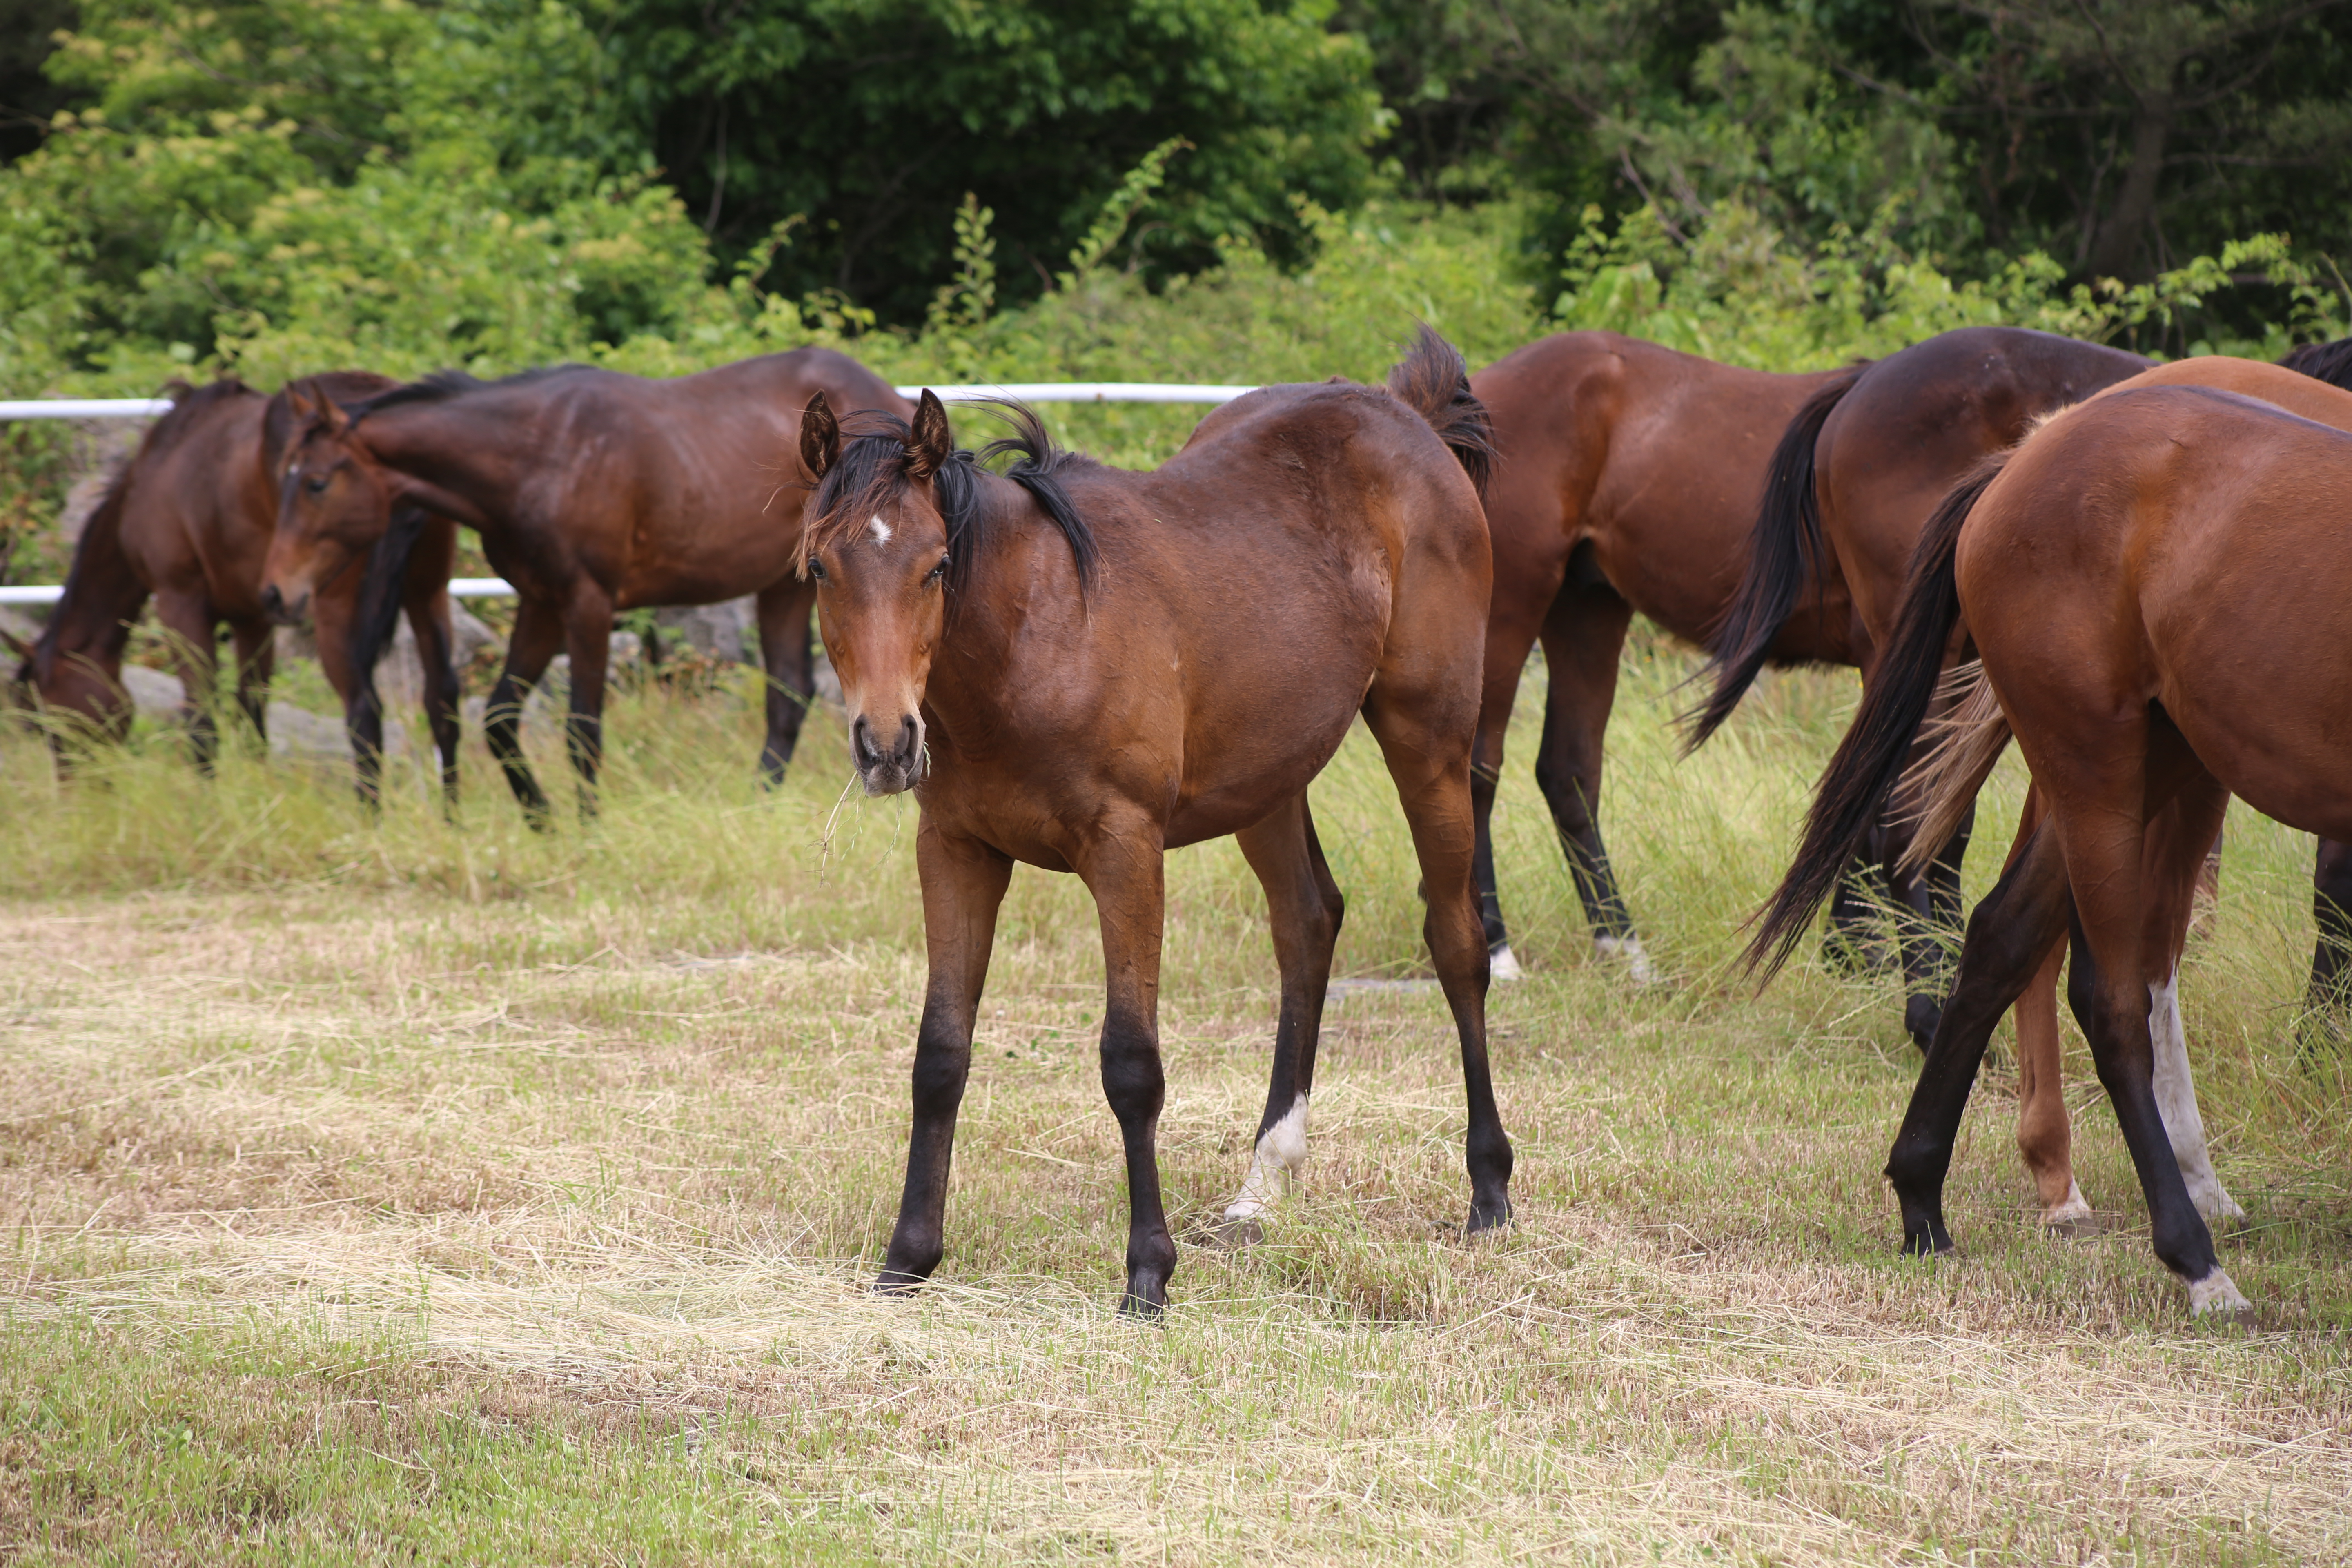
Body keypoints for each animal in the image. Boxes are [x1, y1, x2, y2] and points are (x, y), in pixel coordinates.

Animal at [13, 376, 461, 799]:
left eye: (48, 720)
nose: (77, 795)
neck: (156, 469)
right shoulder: (255, 618)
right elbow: (252, 719)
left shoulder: (180, 605)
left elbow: (203, 723)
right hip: (428, 593)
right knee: (442, 702)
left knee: (363, 713)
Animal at [260, 345, 908, 822]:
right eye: (282, 478)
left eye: (316, 482)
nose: (274, 594)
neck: (540, 453)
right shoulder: (542, 604)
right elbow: (499, 718)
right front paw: (541, 817)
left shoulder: (589, 605)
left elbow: (582, 729)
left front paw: (589, 824)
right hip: (785, 586)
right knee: (788, 694)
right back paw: (757, 805)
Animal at [800, 331, 1515, 1316]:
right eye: (819, 568)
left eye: (936, 566)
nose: (886, 744)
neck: (1032, 639)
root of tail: (1403, 413)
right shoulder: (955, 851)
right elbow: (939, 1055)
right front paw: (909, 1254)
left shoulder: (1126, 850)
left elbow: (1131, 1063)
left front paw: (1148, 1269)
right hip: (1269, 780)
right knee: (1308, 923)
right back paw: (1263, 1186)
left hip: (1428, 743)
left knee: (1455, 942)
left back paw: (1489, 1189)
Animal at [1750, 385, 2352, 1316]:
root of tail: (2028, 456)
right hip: (2095, 766)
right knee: (2110, 1001)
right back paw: (2194, 1258)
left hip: (2149, 761)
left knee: (2002, 939)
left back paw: (1921, 1197)